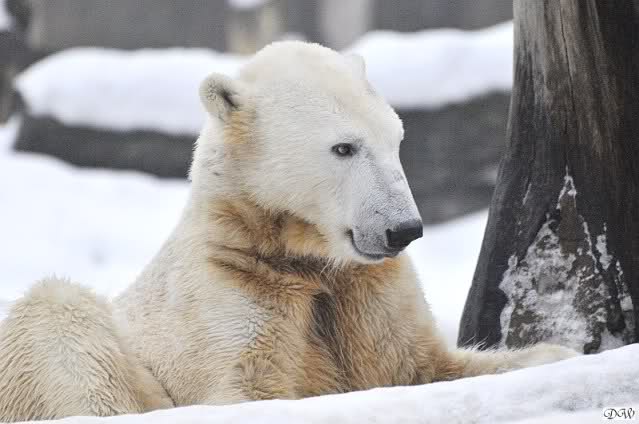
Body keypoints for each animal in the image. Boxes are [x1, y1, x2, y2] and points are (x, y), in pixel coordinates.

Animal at [0, 41, 578, 421]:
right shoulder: (230, 295)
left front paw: (558, 356)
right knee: (59, 316)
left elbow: (422, 364)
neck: (293, 252)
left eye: (395, 137)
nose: (404, 230)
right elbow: (249, 388)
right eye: (344, 147)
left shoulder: (366, 290)